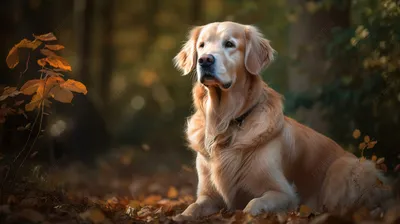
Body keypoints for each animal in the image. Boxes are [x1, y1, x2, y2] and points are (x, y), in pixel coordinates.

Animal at [171, 21, 390, 219]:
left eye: (230, 44)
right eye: (202, 45)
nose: (205, 60)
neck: (225, 121)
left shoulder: (284, 192)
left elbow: (253, 204)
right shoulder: (207, 195)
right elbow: (191, 208)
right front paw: (180, 216)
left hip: (346, 169)